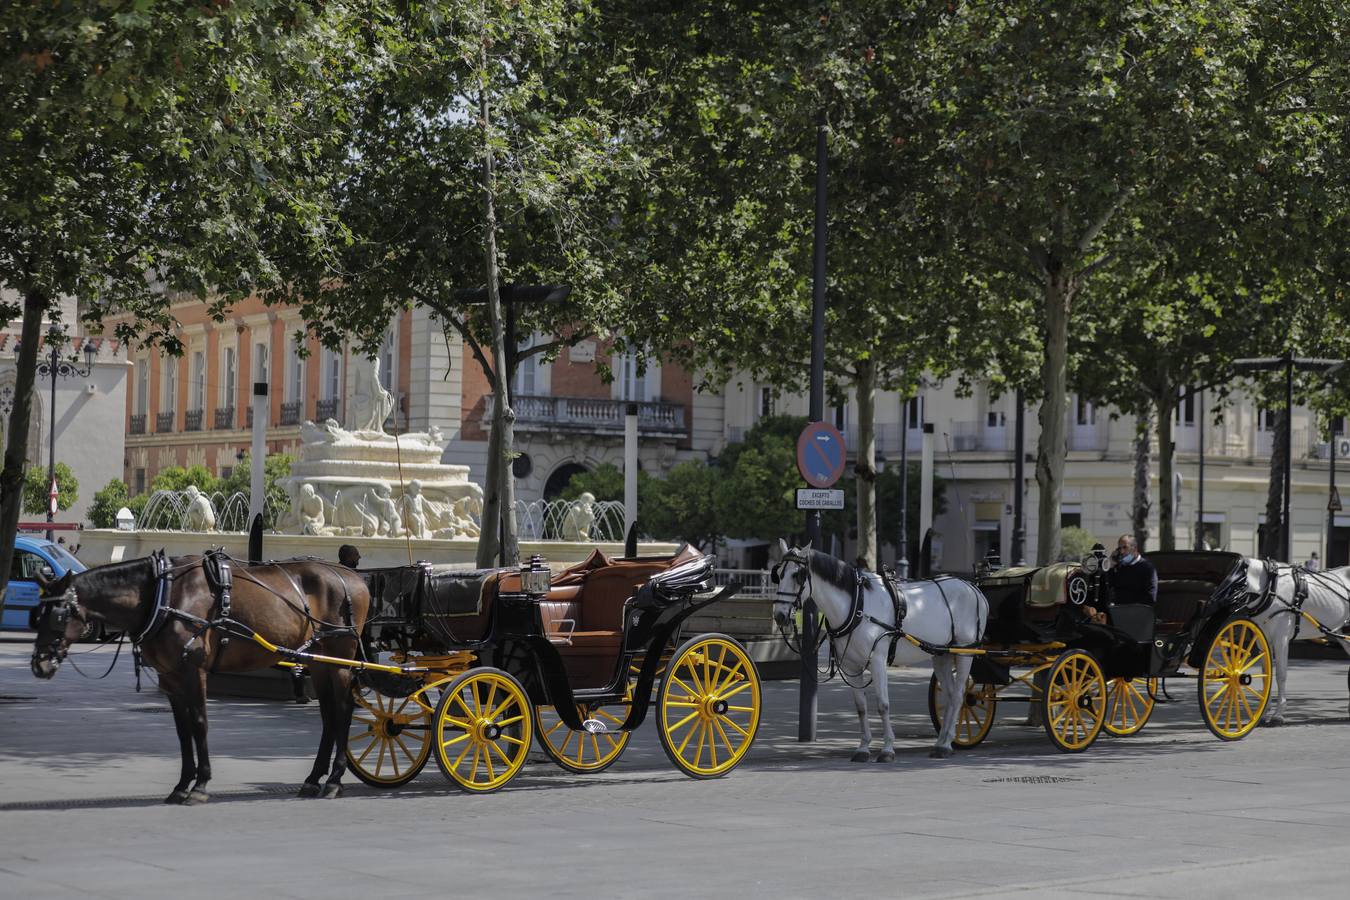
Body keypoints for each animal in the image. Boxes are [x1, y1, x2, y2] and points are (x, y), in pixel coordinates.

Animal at [32, 553, 369, 804]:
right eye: (37, 613)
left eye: (59, 615)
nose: (39, 665)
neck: (164, 594)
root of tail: (353, 577)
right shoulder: (171, 678)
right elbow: (183, 732)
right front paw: (182, 784)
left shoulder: (194, 672)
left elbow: (199, 724)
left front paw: (200, 784)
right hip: (319, 662)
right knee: (329, 716)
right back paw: (314, 779)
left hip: (340, 661)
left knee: (342, 712)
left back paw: (335, 780)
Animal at [772, 542, 993, 761]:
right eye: (779, 574)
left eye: (797, 575)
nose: (780, 616)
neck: (858, 605)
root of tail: (974, 589)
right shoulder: (851, 666)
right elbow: (861, 707)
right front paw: (863, 748)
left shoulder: (877, 660)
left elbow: (882, 704)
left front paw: (887, 749)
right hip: (942, 655)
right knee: (950, 695)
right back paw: (942, 741)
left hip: (965, 651)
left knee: (958, 696)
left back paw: (947, 744)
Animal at [1236, 564, 1350, 723]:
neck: (1271, 586)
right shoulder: (1263, 641)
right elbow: (1266, 675)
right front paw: (1264, 713)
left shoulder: (1281, 639)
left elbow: (1281, 674)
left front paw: (1278, 714)